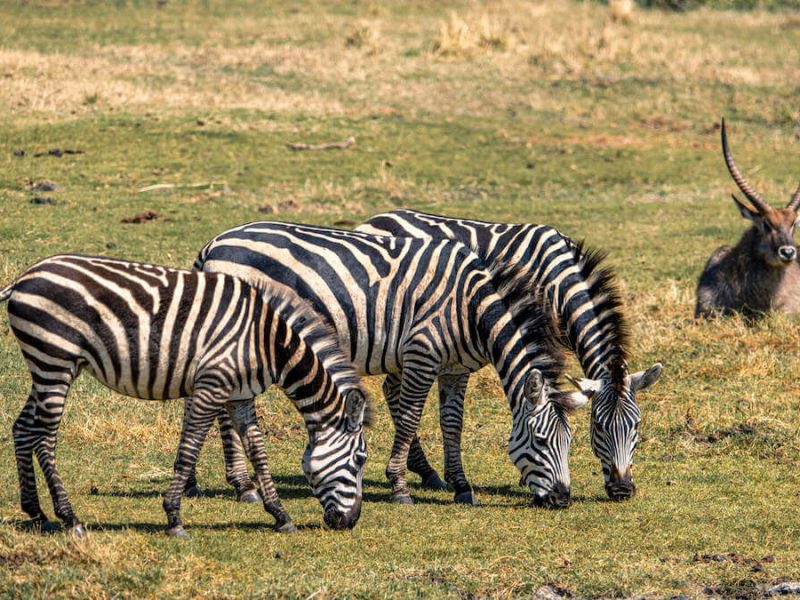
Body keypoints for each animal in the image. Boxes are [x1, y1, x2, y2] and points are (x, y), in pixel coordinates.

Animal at [0, 254, 370, 537]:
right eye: (360, 460)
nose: (351, 522)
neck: (268, 342)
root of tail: (23, 278)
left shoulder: (240, 396)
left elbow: (258, 452)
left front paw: (280, 515)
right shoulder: (211, 386)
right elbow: (189, 451)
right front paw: (174, 517)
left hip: (48, 365)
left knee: (23, 428)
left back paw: (37, 513)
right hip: (54, 361)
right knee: (44, 439)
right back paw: (69, 517)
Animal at [192, 221, 591, 508]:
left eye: (570, 441)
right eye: (541, 440)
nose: (562, 500)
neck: (471, 308)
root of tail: (214, 244)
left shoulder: (455, 368)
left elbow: (453, 423)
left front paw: (461, 485)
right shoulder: (421, 353)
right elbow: (411, 417)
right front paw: (400, 485)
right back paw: (242, 485)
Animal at [357, 210, 662, 501]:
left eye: (636, 425)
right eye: (598, 426)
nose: (622, 490)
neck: (558, 281)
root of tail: (377, 218)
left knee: (391, 387)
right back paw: (423, 470)